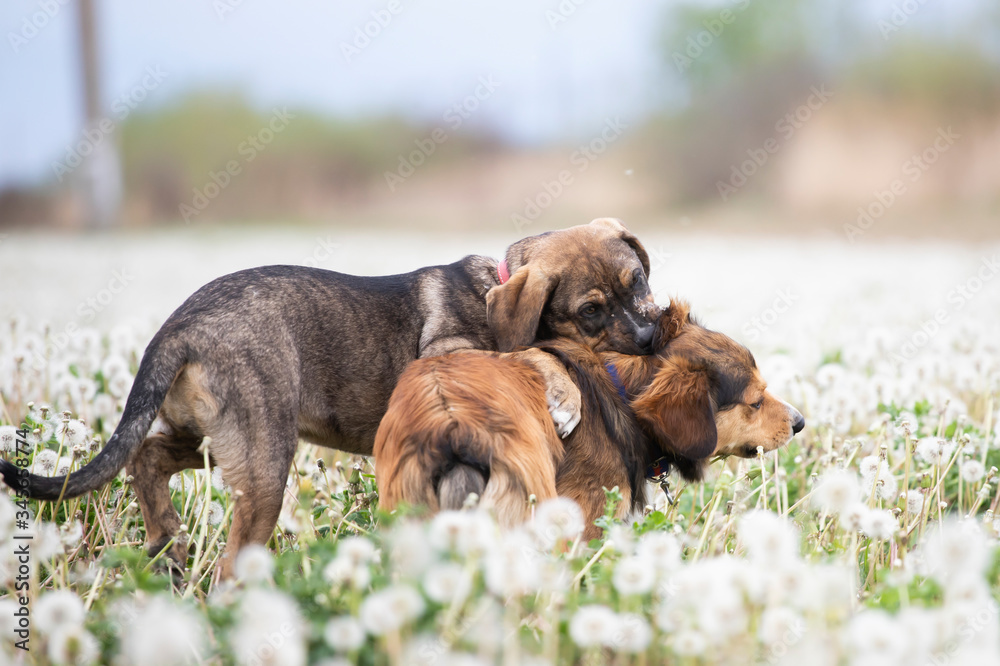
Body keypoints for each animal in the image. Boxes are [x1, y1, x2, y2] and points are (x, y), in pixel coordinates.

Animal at [3, 217, 660, 576]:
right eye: (591, 312)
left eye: (641, 281)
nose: (652, 336)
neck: (496, 286)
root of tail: (179, 329)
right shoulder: (445, 352)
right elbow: (533, 351)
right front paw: (564, 392)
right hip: (265, 457)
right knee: (229, 561)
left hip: (216, 436)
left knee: (146, 456)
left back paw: (169, 541)